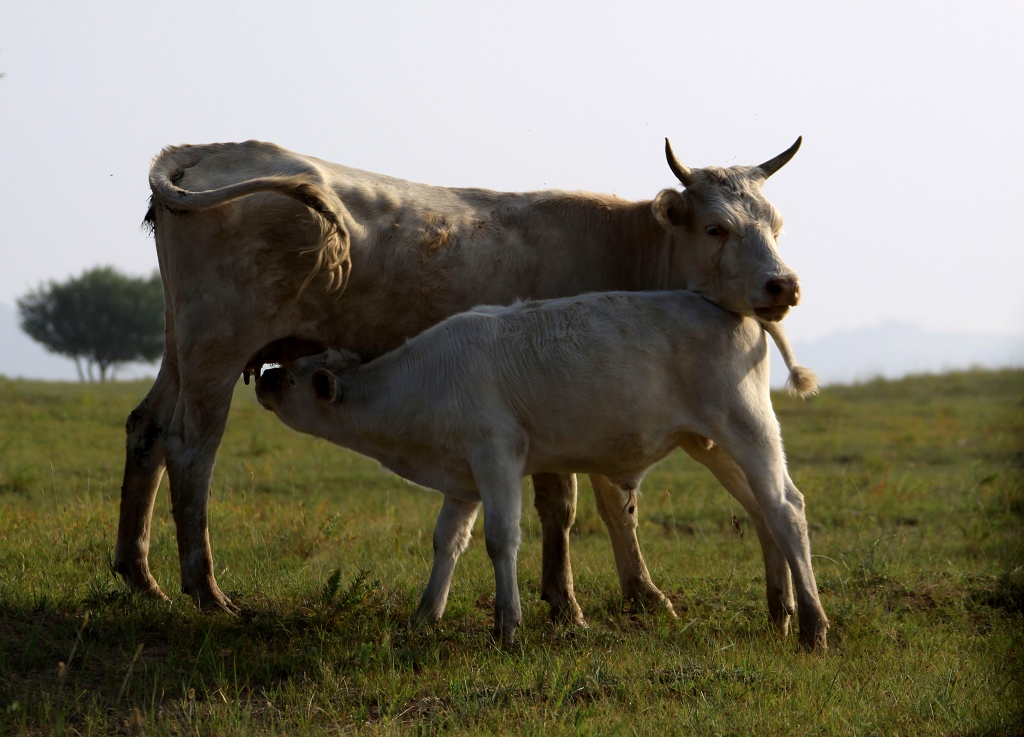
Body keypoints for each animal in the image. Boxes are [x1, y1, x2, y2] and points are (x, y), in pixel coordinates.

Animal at [116, 135, 811, 626]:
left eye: (777, 225)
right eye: (717, 227)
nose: (784, 285)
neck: (626, 244)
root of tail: (210, 150)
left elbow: (593, 503)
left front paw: (601, 594)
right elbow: (584, 502)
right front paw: (594, 601)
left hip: (182, 346)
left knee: (147, 429)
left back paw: (139, 576)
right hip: (216, 348)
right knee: (192, 452)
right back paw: (206, 591)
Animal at [256, 292, 831, 651]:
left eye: (292, 378)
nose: (263, 376)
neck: (422, 381)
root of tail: (737, 311)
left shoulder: (497, 453)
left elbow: (501, 539)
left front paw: (507, 628)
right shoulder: (463, 476)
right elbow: (448, 542)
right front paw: (424, 617)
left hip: (749, 428)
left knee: (787, 508)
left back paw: (812, 625)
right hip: (712, 444)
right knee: (762, 513)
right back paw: (780, 613)